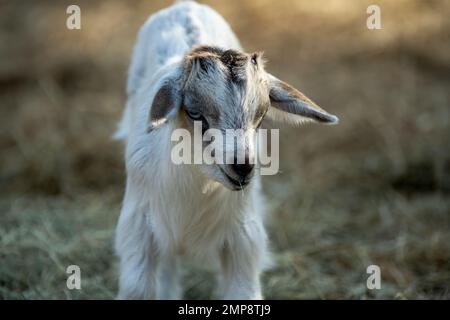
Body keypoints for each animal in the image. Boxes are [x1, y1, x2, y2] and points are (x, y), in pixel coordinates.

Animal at [113, 0, 338, 300]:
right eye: (194, 113)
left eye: (261, 117)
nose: (242, 167)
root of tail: (184, 5)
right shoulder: (139, 230)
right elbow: (139, 287)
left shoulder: (243, 239)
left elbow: (243, 291)